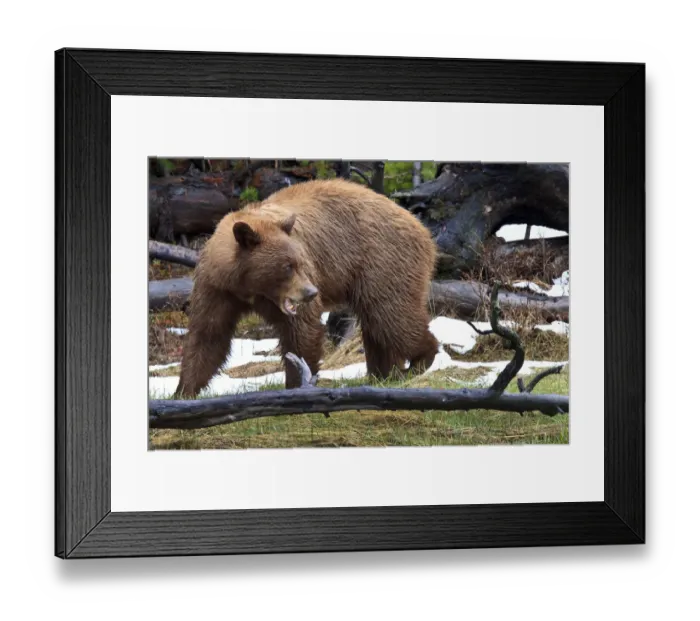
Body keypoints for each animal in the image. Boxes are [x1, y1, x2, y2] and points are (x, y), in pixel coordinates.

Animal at [175, 178, 439, 398]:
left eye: (300, 262)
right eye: (287, 266)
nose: (311, 293)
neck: (247, 287)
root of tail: (422, 229)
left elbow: (301, 332)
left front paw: (295, 384)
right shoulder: (216, 289)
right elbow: (208, 335)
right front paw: (183, 392)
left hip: (383, 262)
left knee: (392, 316)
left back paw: (419, 360)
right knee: (378, 325)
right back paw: (384, 374)